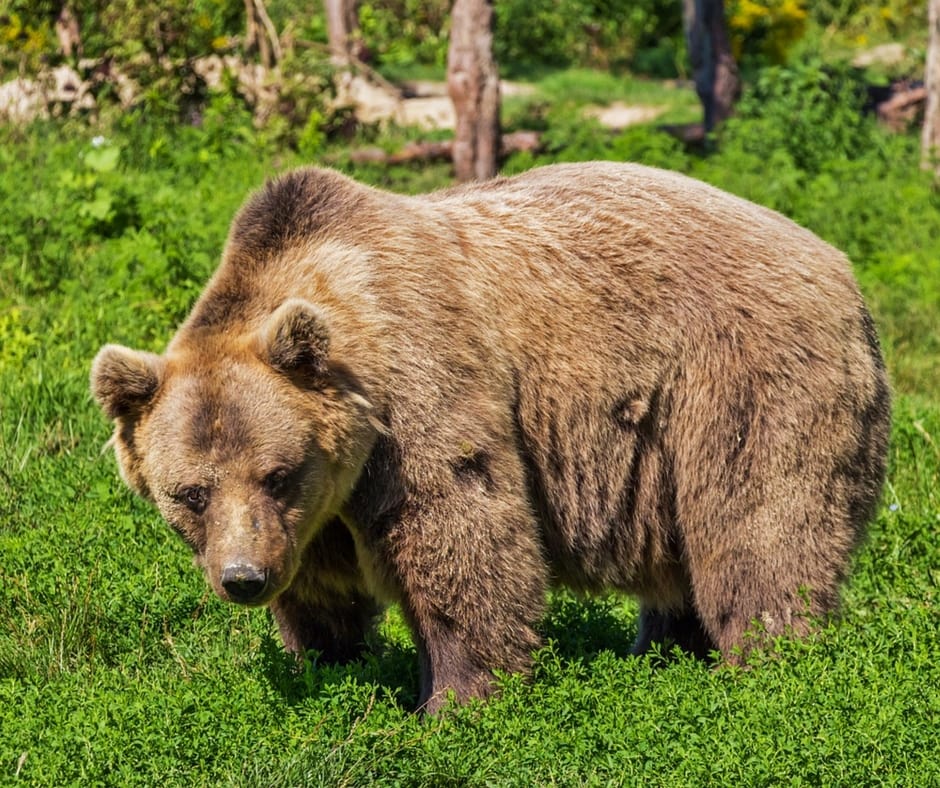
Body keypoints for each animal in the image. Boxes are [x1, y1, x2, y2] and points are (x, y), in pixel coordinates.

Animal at [92, 162, 892, 716]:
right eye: (190, 493)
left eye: (276, 472)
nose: (243, 579)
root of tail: (842, 269)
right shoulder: (316, 511)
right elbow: (322, 591)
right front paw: (331, 664)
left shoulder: (417, 395)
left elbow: (461, 535)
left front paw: (453, 701)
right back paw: (665, 652)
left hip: (741, 380)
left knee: (758, 528)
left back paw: (766, 664)